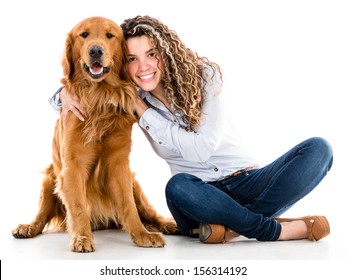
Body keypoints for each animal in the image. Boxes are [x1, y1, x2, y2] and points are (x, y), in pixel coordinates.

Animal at [12, 15, 177, 252]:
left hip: (134, 182)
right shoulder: (73, 164)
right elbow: (78, 205)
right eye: (84, 34)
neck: (99, 97)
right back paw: (27, 227)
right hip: (49, 178)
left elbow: (129, 206)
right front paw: (82, 237)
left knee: (148, 211)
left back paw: (167, 224)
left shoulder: (119, 163)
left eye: (110, 35)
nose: (96, 50)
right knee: (41, 215)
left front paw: (141, 235)